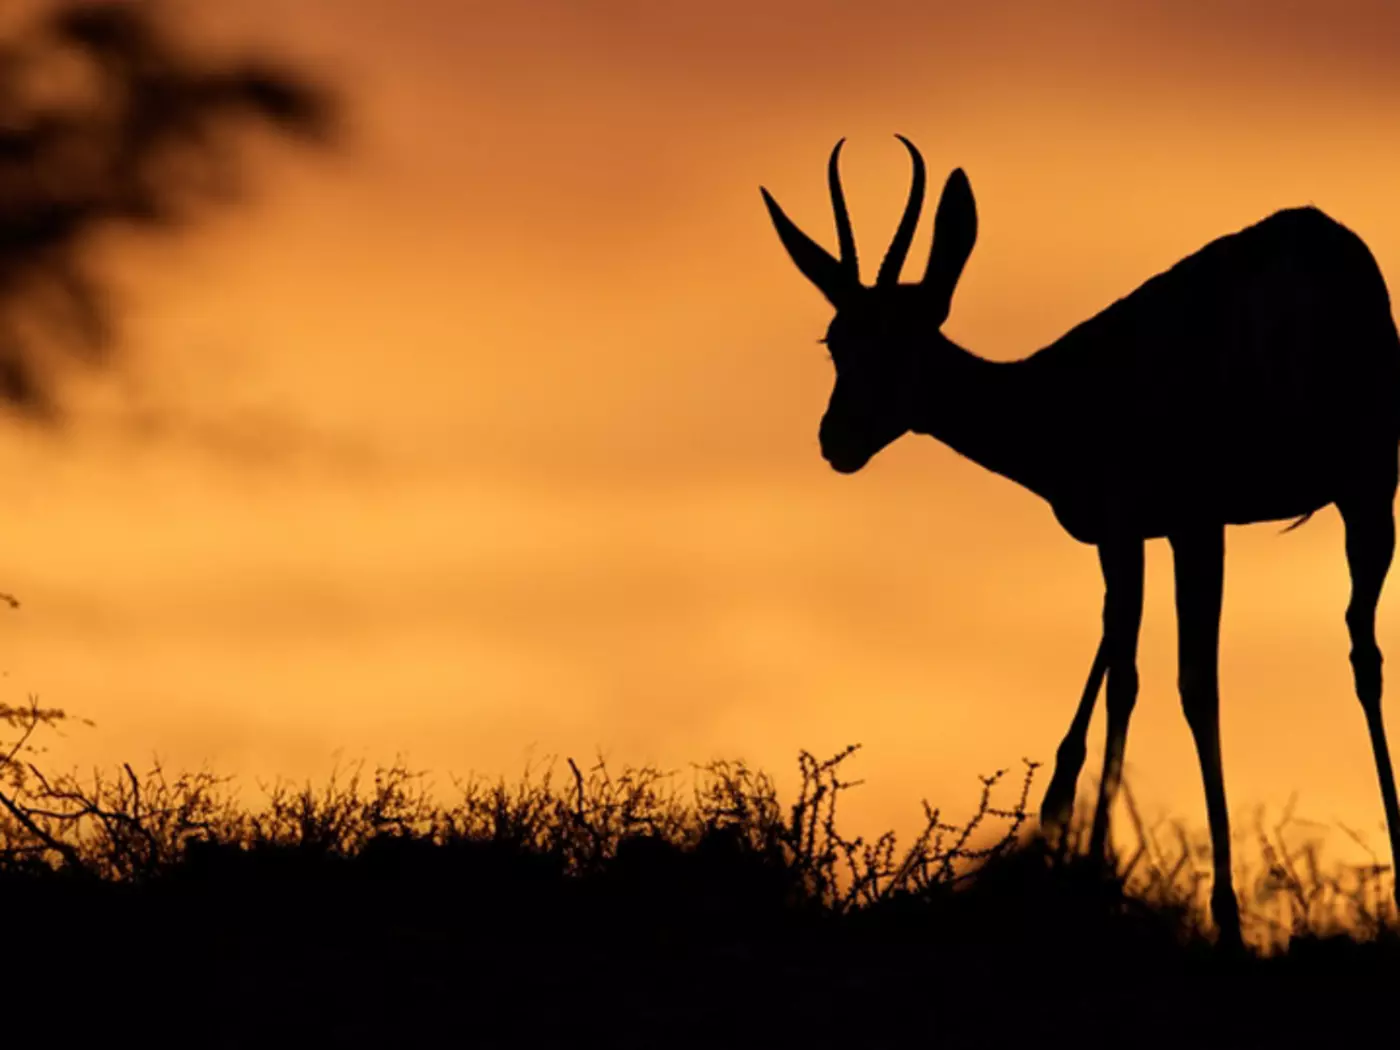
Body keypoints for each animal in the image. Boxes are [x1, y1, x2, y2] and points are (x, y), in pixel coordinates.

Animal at [760, 135, 1400, 945]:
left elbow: (1157, 681)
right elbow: (1118, 666)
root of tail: (1316, 253)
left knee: (1237, 675)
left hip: (1328, 497)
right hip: (1367, 493)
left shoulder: (1169, 523)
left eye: (905, 341)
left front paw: (1135, 885)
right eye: (836, 341)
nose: (836, 439)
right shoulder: (1139, 532)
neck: (1058, 394)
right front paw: (1066, 821)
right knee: (1364, 653)